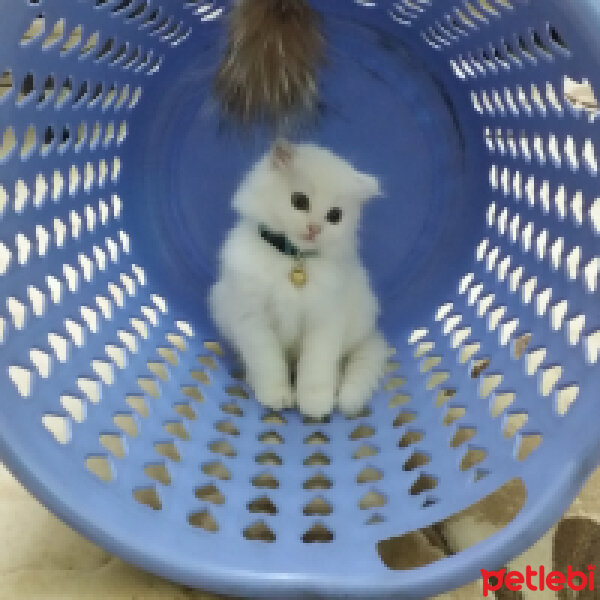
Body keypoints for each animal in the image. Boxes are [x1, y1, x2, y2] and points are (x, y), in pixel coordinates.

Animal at [210, 141, 390, 418]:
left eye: (335, 216)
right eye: (300, 201)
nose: (314, 228)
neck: (293, 259)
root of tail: (371, 334)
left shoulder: (325, 320)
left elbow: (315, 367)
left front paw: (314, 404)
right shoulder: (252, 319)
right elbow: (268, 363)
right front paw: (276, 396)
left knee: (338, 363)